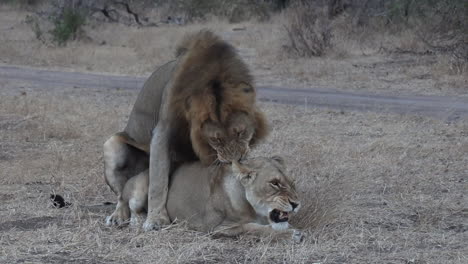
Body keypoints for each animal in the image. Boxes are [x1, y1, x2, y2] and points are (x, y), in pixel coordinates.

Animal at [104, 29, 268, 230]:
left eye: (241, 132)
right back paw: (118, 216)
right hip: (111, 145)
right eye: (215, 139)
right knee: (122, 194)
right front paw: (156, 219)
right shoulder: (163, 130)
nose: (234, 160)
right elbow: (158, 181)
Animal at [107, 156, 304, 242]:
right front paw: (292, 234)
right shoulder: (217, 228)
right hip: (145, 183)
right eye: (275, 183)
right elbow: (252, 228)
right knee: (124, 200)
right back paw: (124, 219)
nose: (296, 204)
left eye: (292, 182)